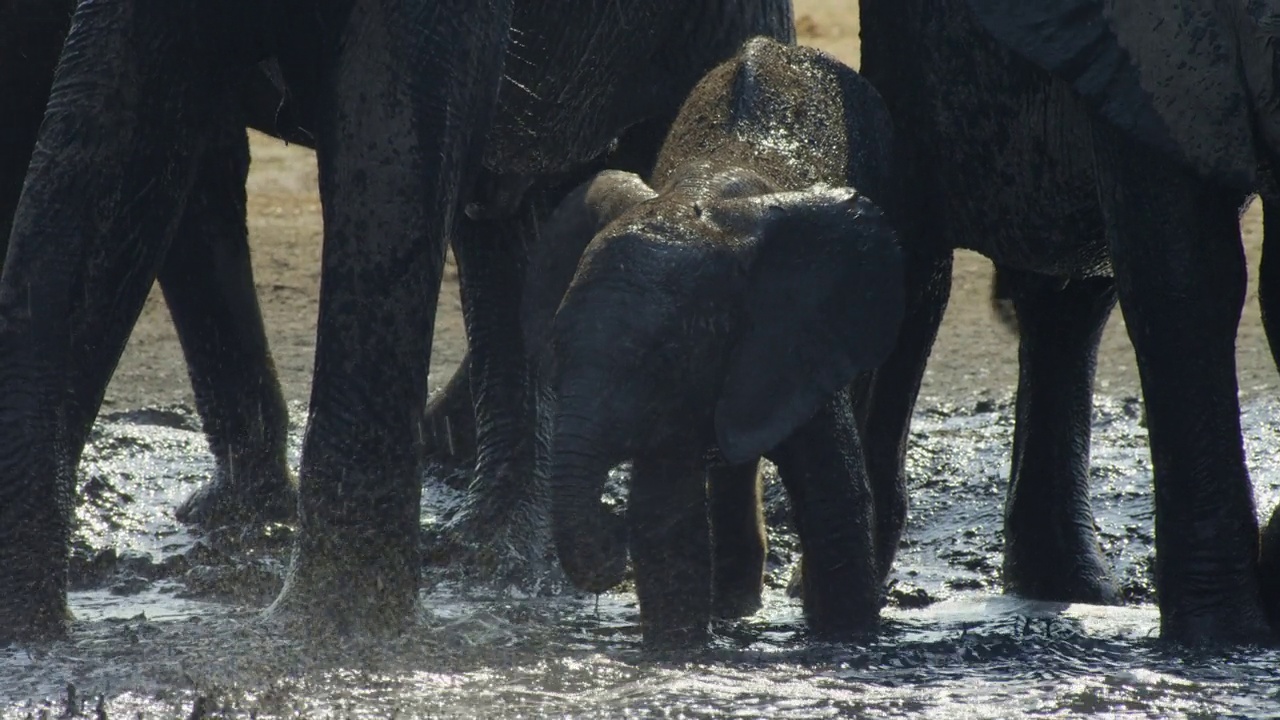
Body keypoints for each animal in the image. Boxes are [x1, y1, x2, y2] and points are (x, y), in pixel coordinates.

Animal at [535, 36, 906, 648]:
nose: (608, 548)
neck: (703, 200)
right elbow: (665, 523)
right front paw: (675, 654)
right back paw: (736, 608)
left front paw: (847, 644)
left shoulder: (800, 334)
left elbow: (834, 501)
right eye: (557, 351)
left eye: (663, 357)